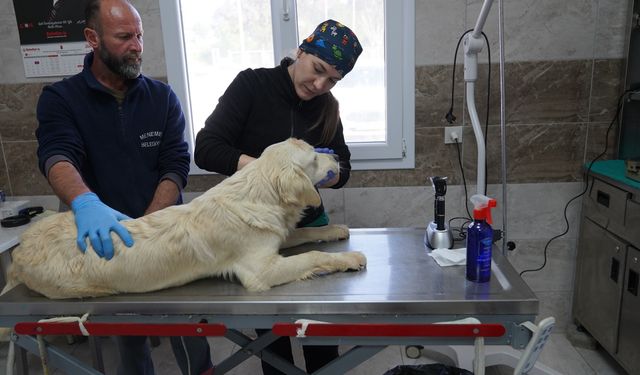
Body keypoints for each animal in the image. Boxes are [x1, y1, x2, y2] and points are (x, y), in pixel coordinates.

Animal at [1, 138, 364, 300]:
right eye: (314, 157)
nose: (336, 155)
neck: (258, 191)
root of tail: (20, 251)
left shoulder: (275, 237)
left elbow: (304, 235)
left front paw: (334, 229)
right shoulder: (260, 270)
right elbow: (312, 255)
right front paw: (350, 258)